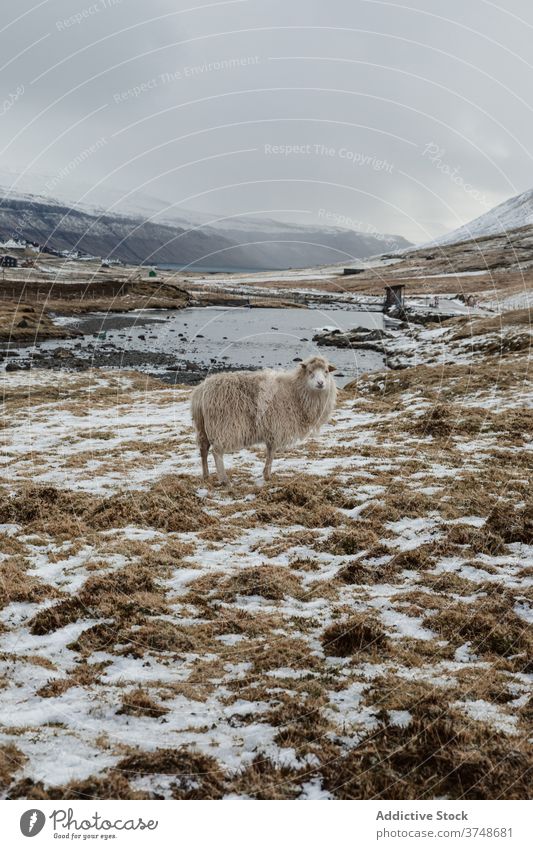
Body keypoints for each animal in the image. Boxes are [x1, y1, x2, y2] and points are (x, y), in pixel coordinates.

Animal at [189, 352, 334, 484]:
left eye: (326, 371)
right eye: (310, 371)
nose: (320, 383)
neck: (295, 392)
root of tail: (200, 392)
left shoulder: (271, 429)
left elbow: (270, 451)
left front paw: (266, 474)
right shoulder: (276, 426)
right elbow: (272, 452)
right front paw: (267, 475)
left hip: (202, 427)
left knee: (203, 449)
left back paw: (206, 476)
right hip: (223, 426)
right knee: (217, 452)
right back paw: (225, 480)